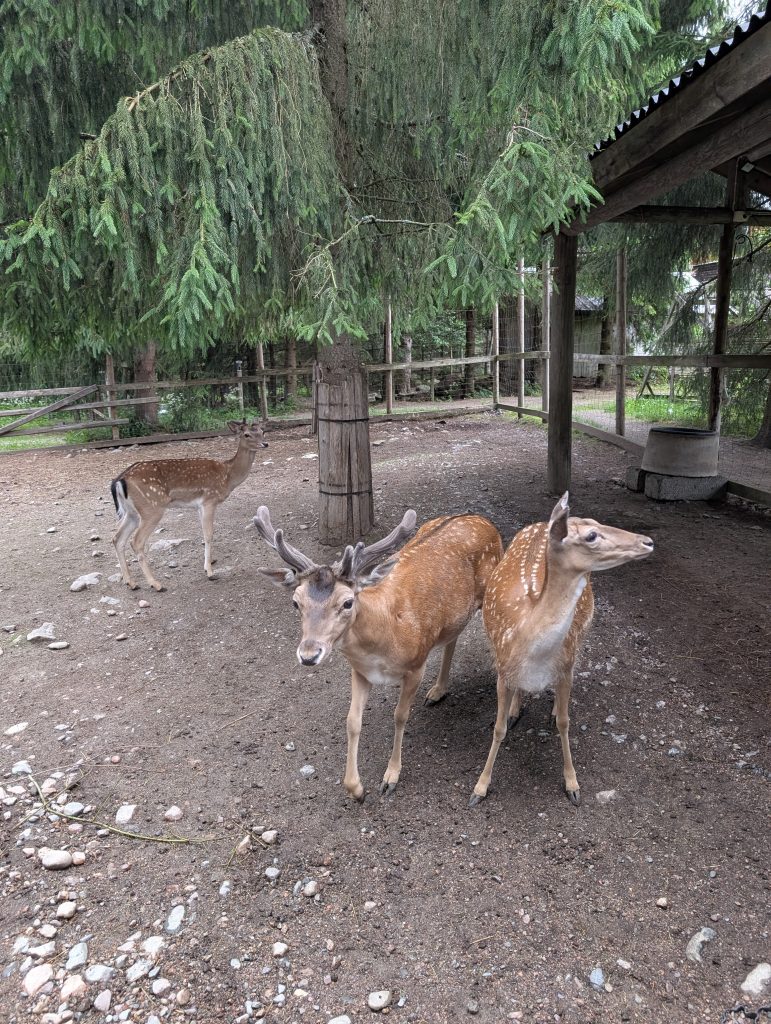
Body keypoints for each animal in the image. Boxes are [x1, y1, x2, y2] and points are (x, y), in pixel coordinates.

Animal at [110, 419, 268, 591]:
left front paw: (208, 565)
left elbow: (204, 534)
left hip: (131, 512)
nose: (265, 443)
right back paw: (156, 584)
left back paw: (131, 582)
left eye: (262, 431)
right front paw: (210, 572)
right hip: (151, 508)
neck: (228, 476)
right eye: (246, 434)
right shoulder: (209, 500)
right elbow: (209, 534)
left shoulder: (199, 506)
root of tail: (120, 480)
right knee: (136, 541)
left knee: (117, 539)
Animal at [254, 506, 504, 801]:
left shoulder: (416, 665)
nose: (308, 655)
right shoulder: (360, 671)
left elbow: (400, 715)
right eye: (296, 602)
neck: (383, 643)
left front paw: (390, 777)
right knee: (452, 636)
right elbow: (352, 721)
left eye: (347, 602)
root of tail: (481, 518)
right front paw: (357, 789)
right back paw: (438, 690)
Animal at [470, 492, 653, 807]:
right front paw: (479, 788)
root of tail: (540, 524)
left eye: (597, 521)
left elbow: (565, 723)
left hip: (581, 634)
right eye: (591, 535)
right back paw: (516, 709)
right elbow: (498, 728)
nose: (648, 541)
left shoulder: (565, 667)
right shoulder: (502, 672)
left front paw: (573, 785)